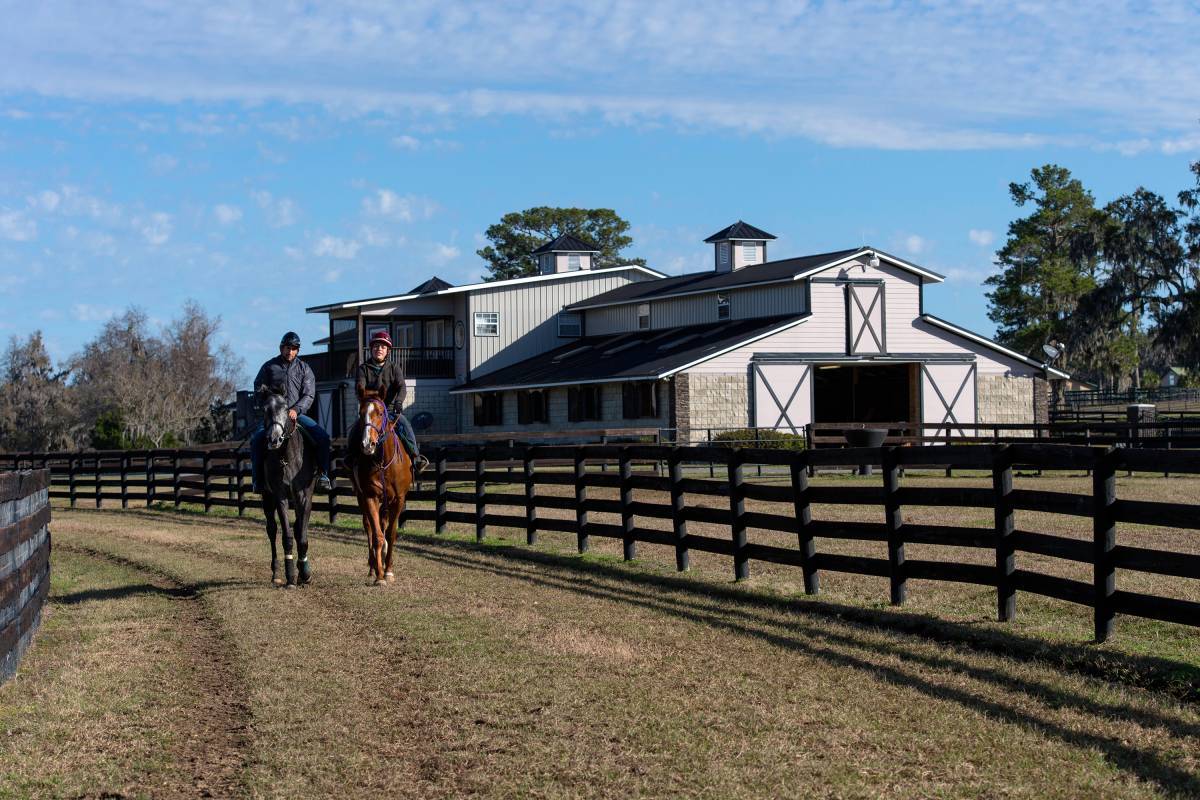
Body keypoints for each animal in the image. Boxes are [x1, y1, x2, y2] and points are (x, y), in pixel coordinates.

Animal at [259, 388, 314, 587]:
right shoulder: (280, 496)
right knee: (272, 530)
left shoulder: (304, 497)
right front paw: (291, 574)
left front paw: (304, 573)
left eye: (285, 408)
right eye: (265, 409)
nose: (274, 439)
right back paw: (276, 573)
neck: (286, 456)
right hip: (267, 498)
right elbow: (287, 537)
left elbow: (301, 536)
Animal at [350, 391, 415, 585]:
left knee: (383, 524)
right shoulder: (370, 496)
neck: (383, 462)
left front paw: (389, 571)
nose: (367, 444)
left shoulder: (399, 499)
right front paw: (379, 575)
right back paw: (372, 567)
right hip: (361, 497)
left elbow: (390, 534)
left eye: (380, 413)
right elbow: (377, 535)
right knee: (369, 528)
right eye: (361, 413)